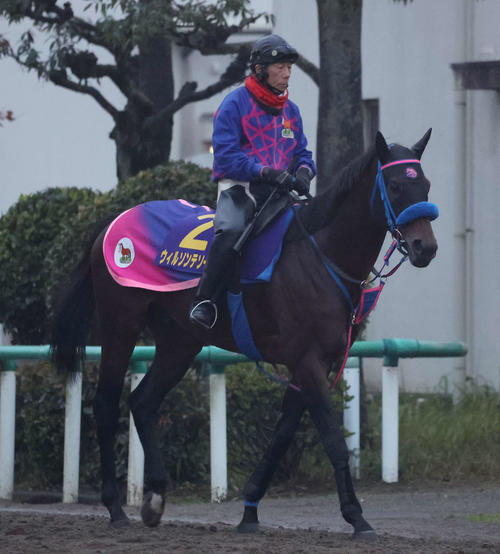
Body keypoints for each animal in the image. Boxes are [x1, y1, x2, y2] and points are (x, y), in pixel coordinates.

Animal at [51, 128, 438, 536]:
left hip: (180, 342)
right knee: (106, 404)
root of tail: (113, 222)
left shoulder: (318, 363)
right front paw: (355, 514)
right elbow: (332, 437)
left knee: (142, 402)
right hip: (120, 325)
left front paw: (250, 509)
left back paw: (154, 499)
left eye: (425, 184)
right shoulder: (307, 360)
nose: (425, 246)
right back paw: (115, 506)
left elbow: (282, 435)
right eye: (395, 185)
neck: (319, 257)